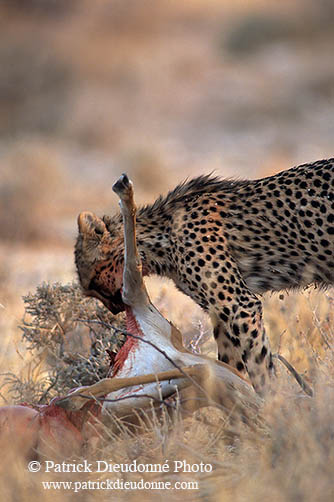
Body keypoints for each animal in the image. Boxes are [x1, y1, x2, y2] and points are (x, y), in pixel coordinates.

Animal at [74, 159, 334, 394]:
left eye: (94, 282)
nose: (115, 309)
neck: (161, 236)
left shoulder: (240, 305)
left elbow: (258, 362)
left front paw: (273, 403)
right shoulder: (220, 312)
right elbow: (231, 363)